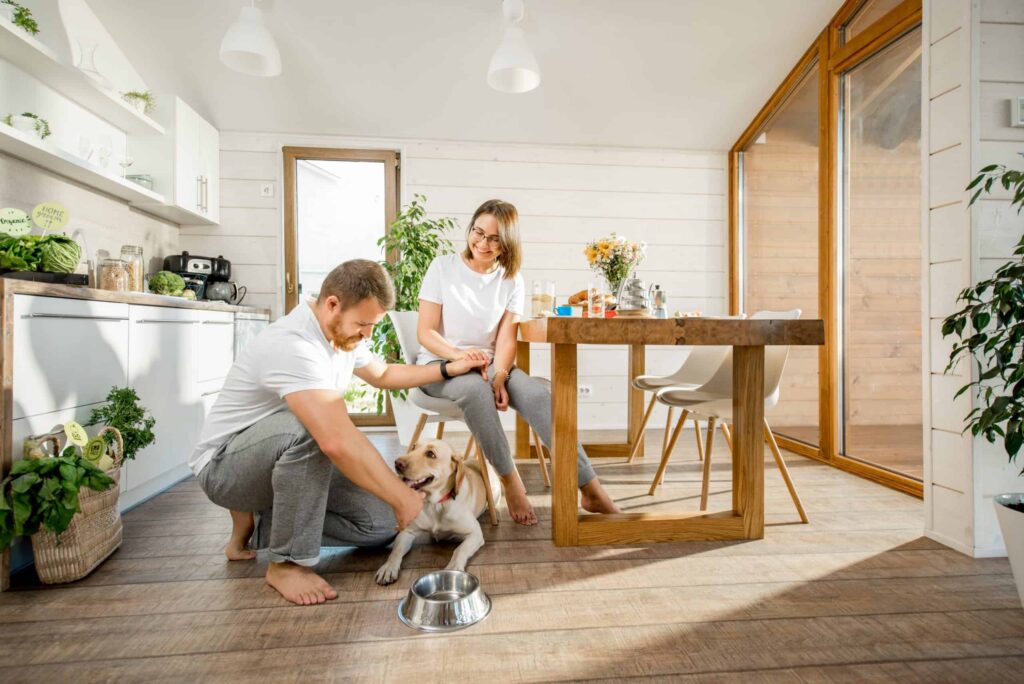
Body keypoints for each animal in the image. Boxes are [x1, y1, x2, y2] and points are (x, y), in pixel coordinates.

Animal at [376, 440, 503, 585]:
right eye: (413, 447)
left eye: (430, 454)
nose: (397, 463)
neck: (435, 504)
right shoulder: (407, 532)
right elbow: (396, 551)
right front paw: (388, 567)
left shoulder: (475, 533)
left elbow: (459, 549)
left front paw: (454, 566)